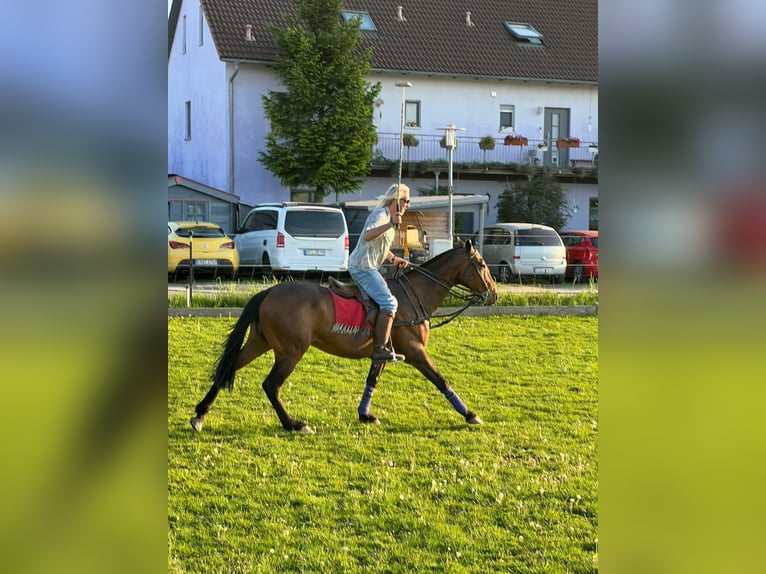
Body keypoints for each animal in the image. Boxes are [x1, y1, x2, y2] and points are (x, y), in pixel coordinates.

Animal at [192, 241, 498, 434]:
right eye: (481, 264)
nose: (494, 293)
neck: (414, 295)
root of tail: (267, 292)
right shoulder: (415, 352)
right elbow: (441, 380)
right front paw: (470, 414)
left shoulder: (382, 352)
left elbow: (371, 380)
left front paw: (365, 415)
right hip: (290, 352)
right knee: (271, 385)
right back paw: (293, 424)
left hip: (260, 342)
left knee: (227, 369)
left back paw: (199, 415)